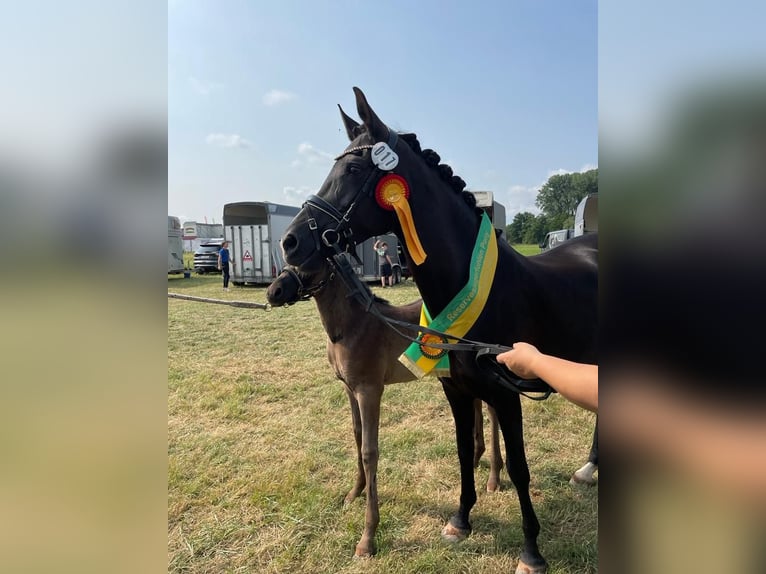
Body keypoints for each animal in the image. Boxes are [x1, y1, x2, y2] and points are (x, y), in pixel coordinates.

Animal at [282, 88, 600, 572]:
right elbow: (463, 450)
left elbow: (520, 468)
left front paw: (531, 550)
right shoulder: (457, 390)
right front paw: (461, 520)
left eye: (353, 169)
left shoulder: (507, 393)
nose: (291, 241)